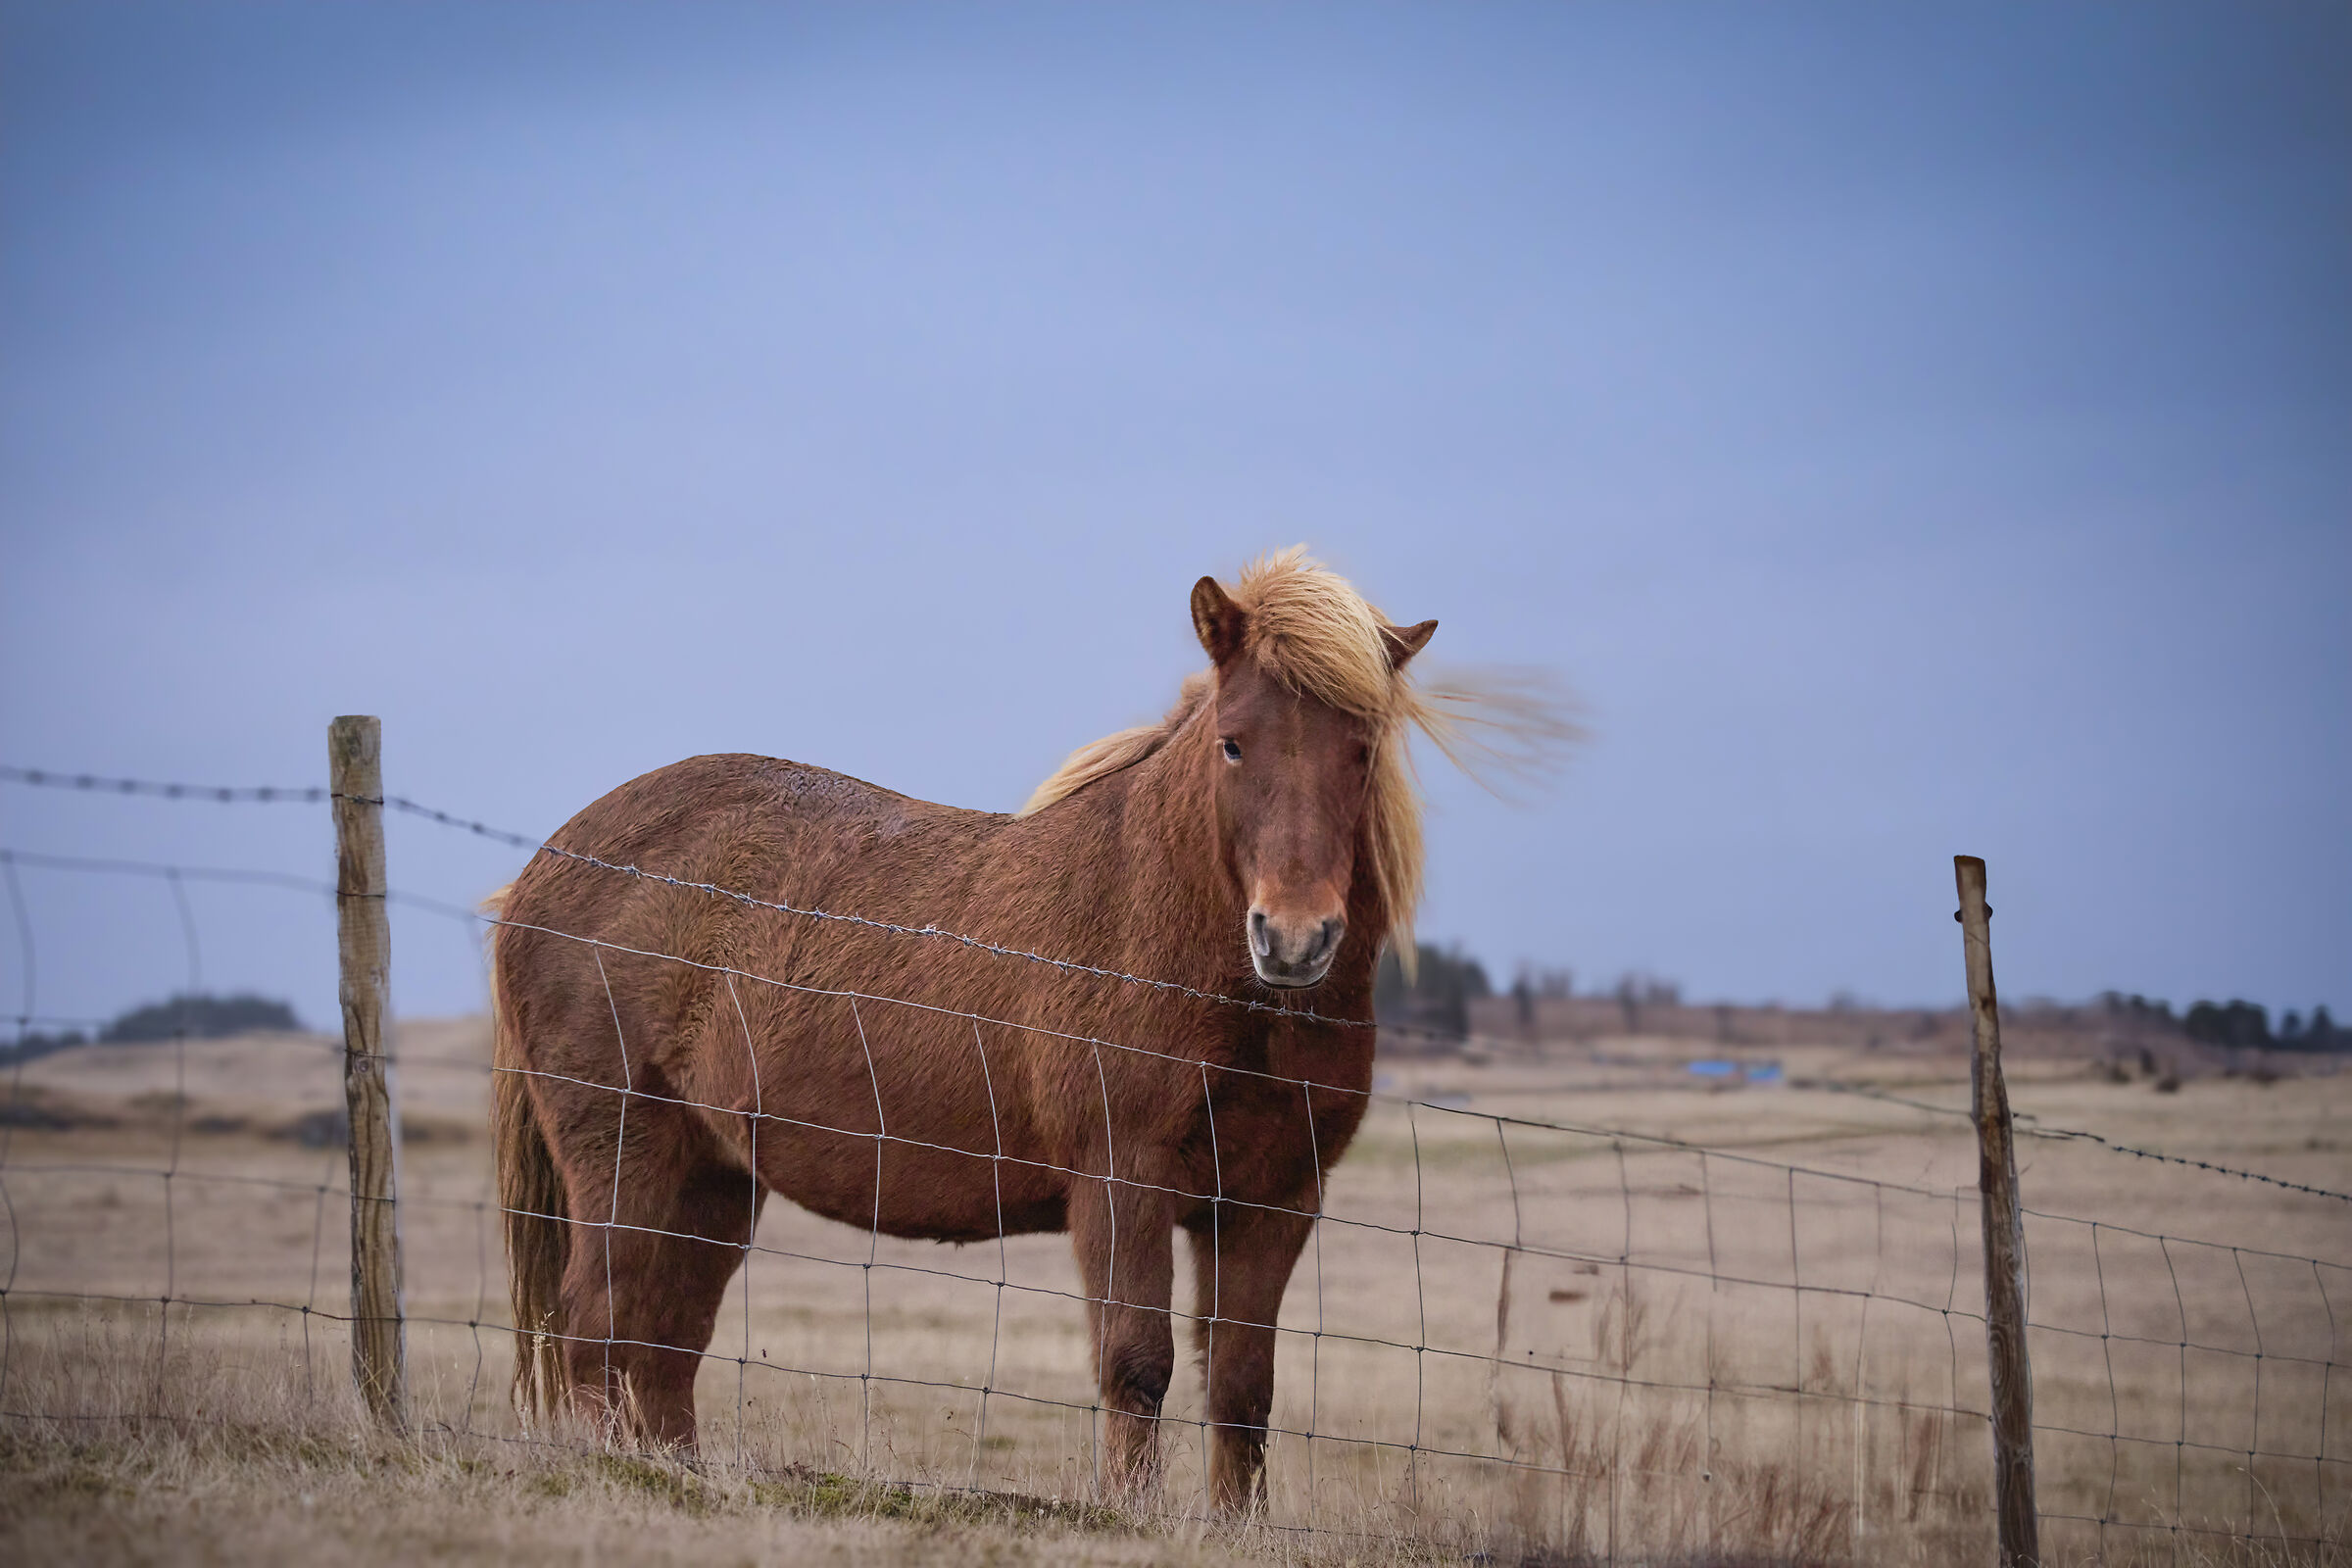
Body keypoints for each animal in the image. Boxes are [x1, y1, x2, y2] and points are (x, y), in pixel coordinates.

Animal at [488, 546, 1559, 1511]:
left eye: (1361, 748)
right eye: (1235, 743)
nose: (1294, 938)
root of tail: (543, 867)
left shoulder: (1273, 1201)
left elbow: (1243, 1389)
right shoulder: (1123, 1180)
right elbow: (1137, 1363)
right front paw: (1130, 1517)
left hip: (710, 1174)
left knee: (663, 1342)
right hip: (622, 1148)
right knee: (599, 1319)